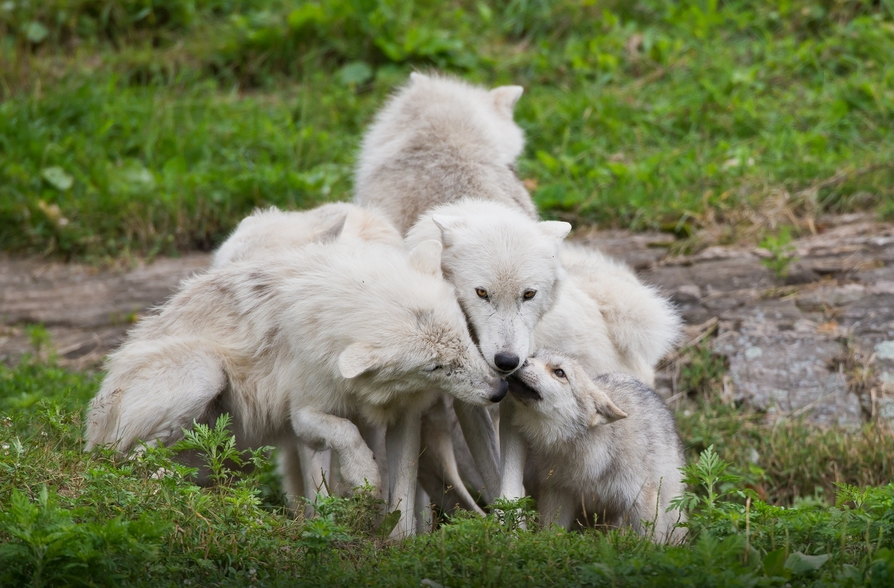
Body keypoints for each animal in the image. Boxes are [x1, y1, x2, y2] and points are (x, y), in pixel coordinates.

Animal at [84, 239, 506, 539]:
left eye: (464, 337)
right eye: (436, 366)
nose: (499, 390)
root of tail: (89, 425)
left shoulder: (405, 417)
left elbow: (402, 491)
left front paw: (400, 546)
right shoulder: (303, 415)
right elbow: (345, 432)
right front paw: (363, 477)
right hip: (205, 373)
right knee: (131, 462)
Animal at [506, 350, 687, 543]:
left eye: (560, 372)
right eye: (534, 355)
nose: (521, 361)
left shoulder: (641, 498)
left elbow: (652, 541)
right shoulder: (557, 491)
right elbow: (551, 532)